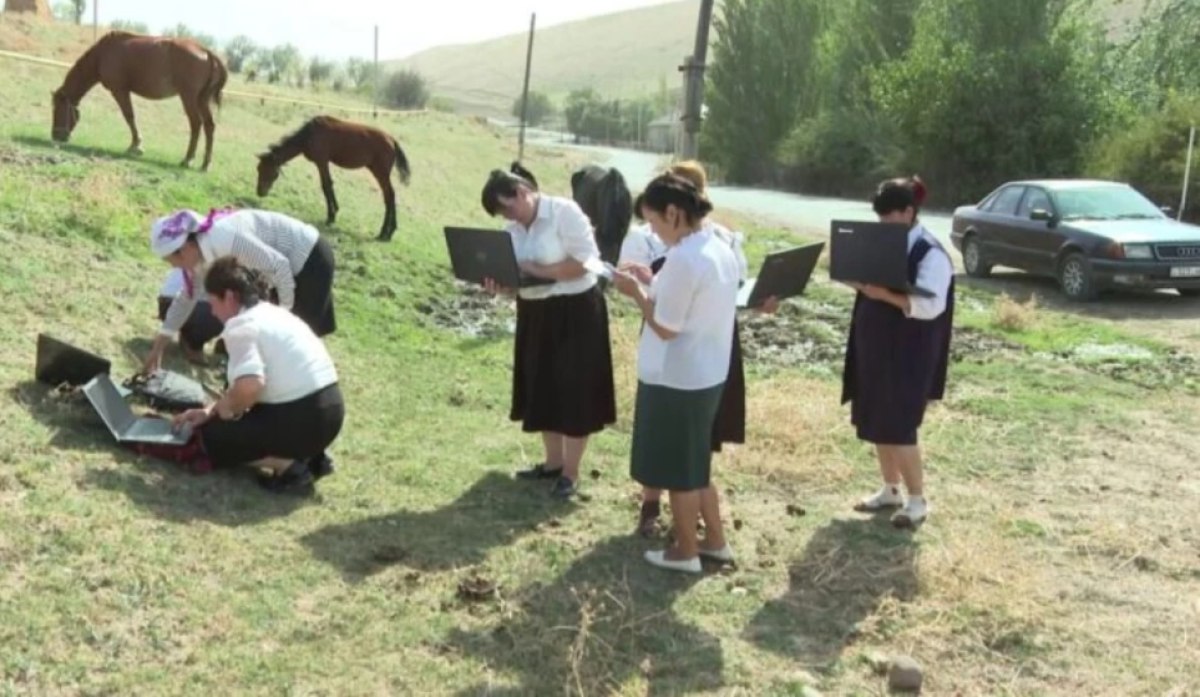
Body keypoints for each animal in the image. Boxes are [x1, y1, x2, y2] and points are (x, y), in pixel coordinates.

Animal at [52, 31, 229, 172]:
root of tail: (206, 52)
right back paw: (205, 164)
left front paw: (136, 146)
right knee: (209, 126)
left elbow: (129, 116)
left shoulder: (119, 90)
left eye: (58, 109)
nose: (55, 135)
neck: (102, 54)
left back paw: (188, 159)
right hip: (201, 99)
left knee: (196, 124)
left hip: (189, 97)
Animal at [256, 115, 412, 241]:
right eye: (258, 169)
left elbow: (326, 185)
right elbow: (328, 186)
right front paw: (334, 213)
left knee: (389, 195)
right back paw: (388, 232)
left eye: (269, 172)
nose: (260, 192)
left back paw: (386, 233)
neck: (310, 134)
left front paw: (331, 216)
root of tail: (392, 140)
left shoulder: (322, 162)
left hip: (381, 173)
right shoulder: (323, 163)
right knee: (389, 197)